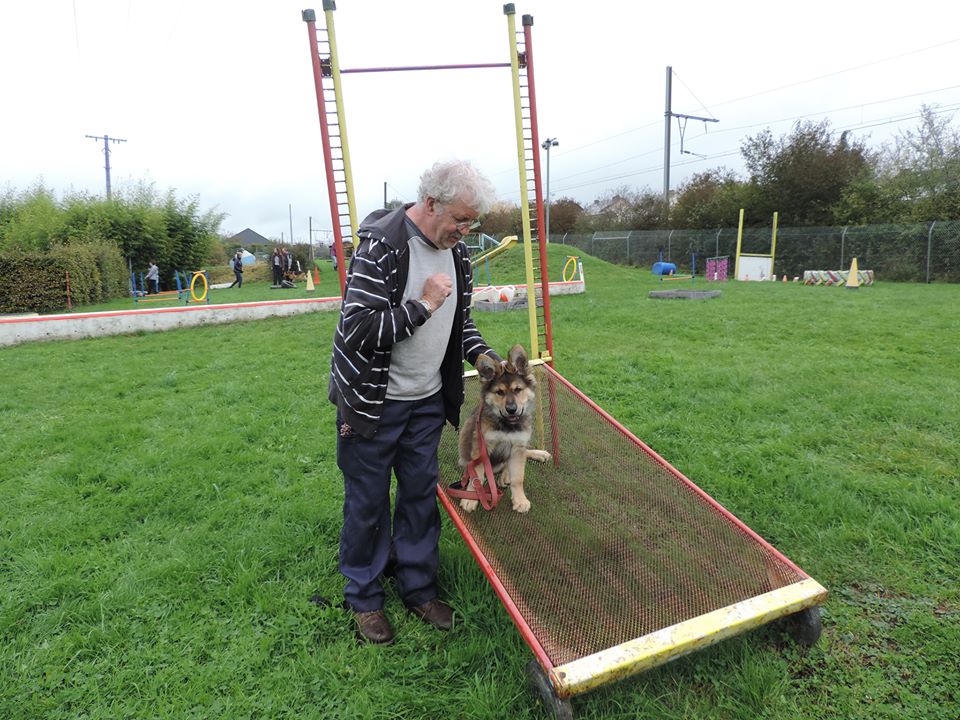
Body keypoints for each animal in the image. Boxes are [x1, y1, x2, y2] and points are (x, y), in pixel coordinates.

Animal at [458, 344, 551, 513]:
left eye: (518, 390)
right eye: (499, 392)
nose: (512, 409)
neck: (507, 425)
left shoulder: (518, 445)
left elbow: (518, 478)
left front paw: (520, 499)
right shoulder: (482, 447)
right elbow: (478, 477)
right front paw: (471, 498)